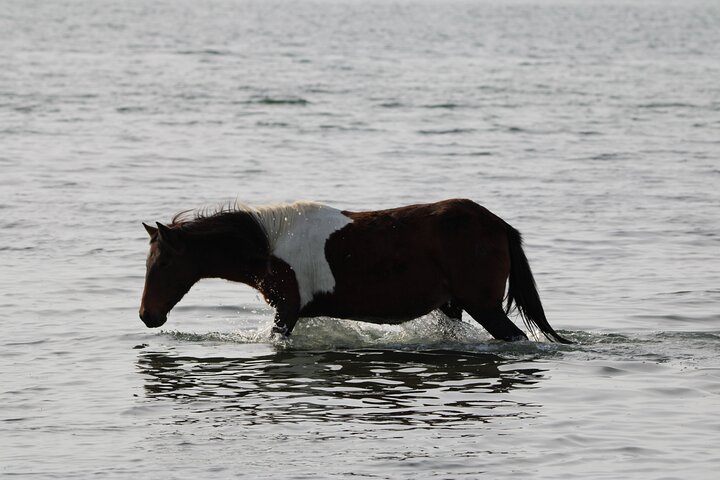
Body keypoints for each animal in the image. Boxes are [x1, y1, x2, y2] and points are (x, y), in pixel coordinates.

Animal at [139, 199, 570, 344]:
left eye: (163, 263)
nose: (147, 315)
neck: (269, 244)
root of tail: (498, 224)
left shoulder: (286, 311)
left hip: (485, 308)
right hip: (454, 307)